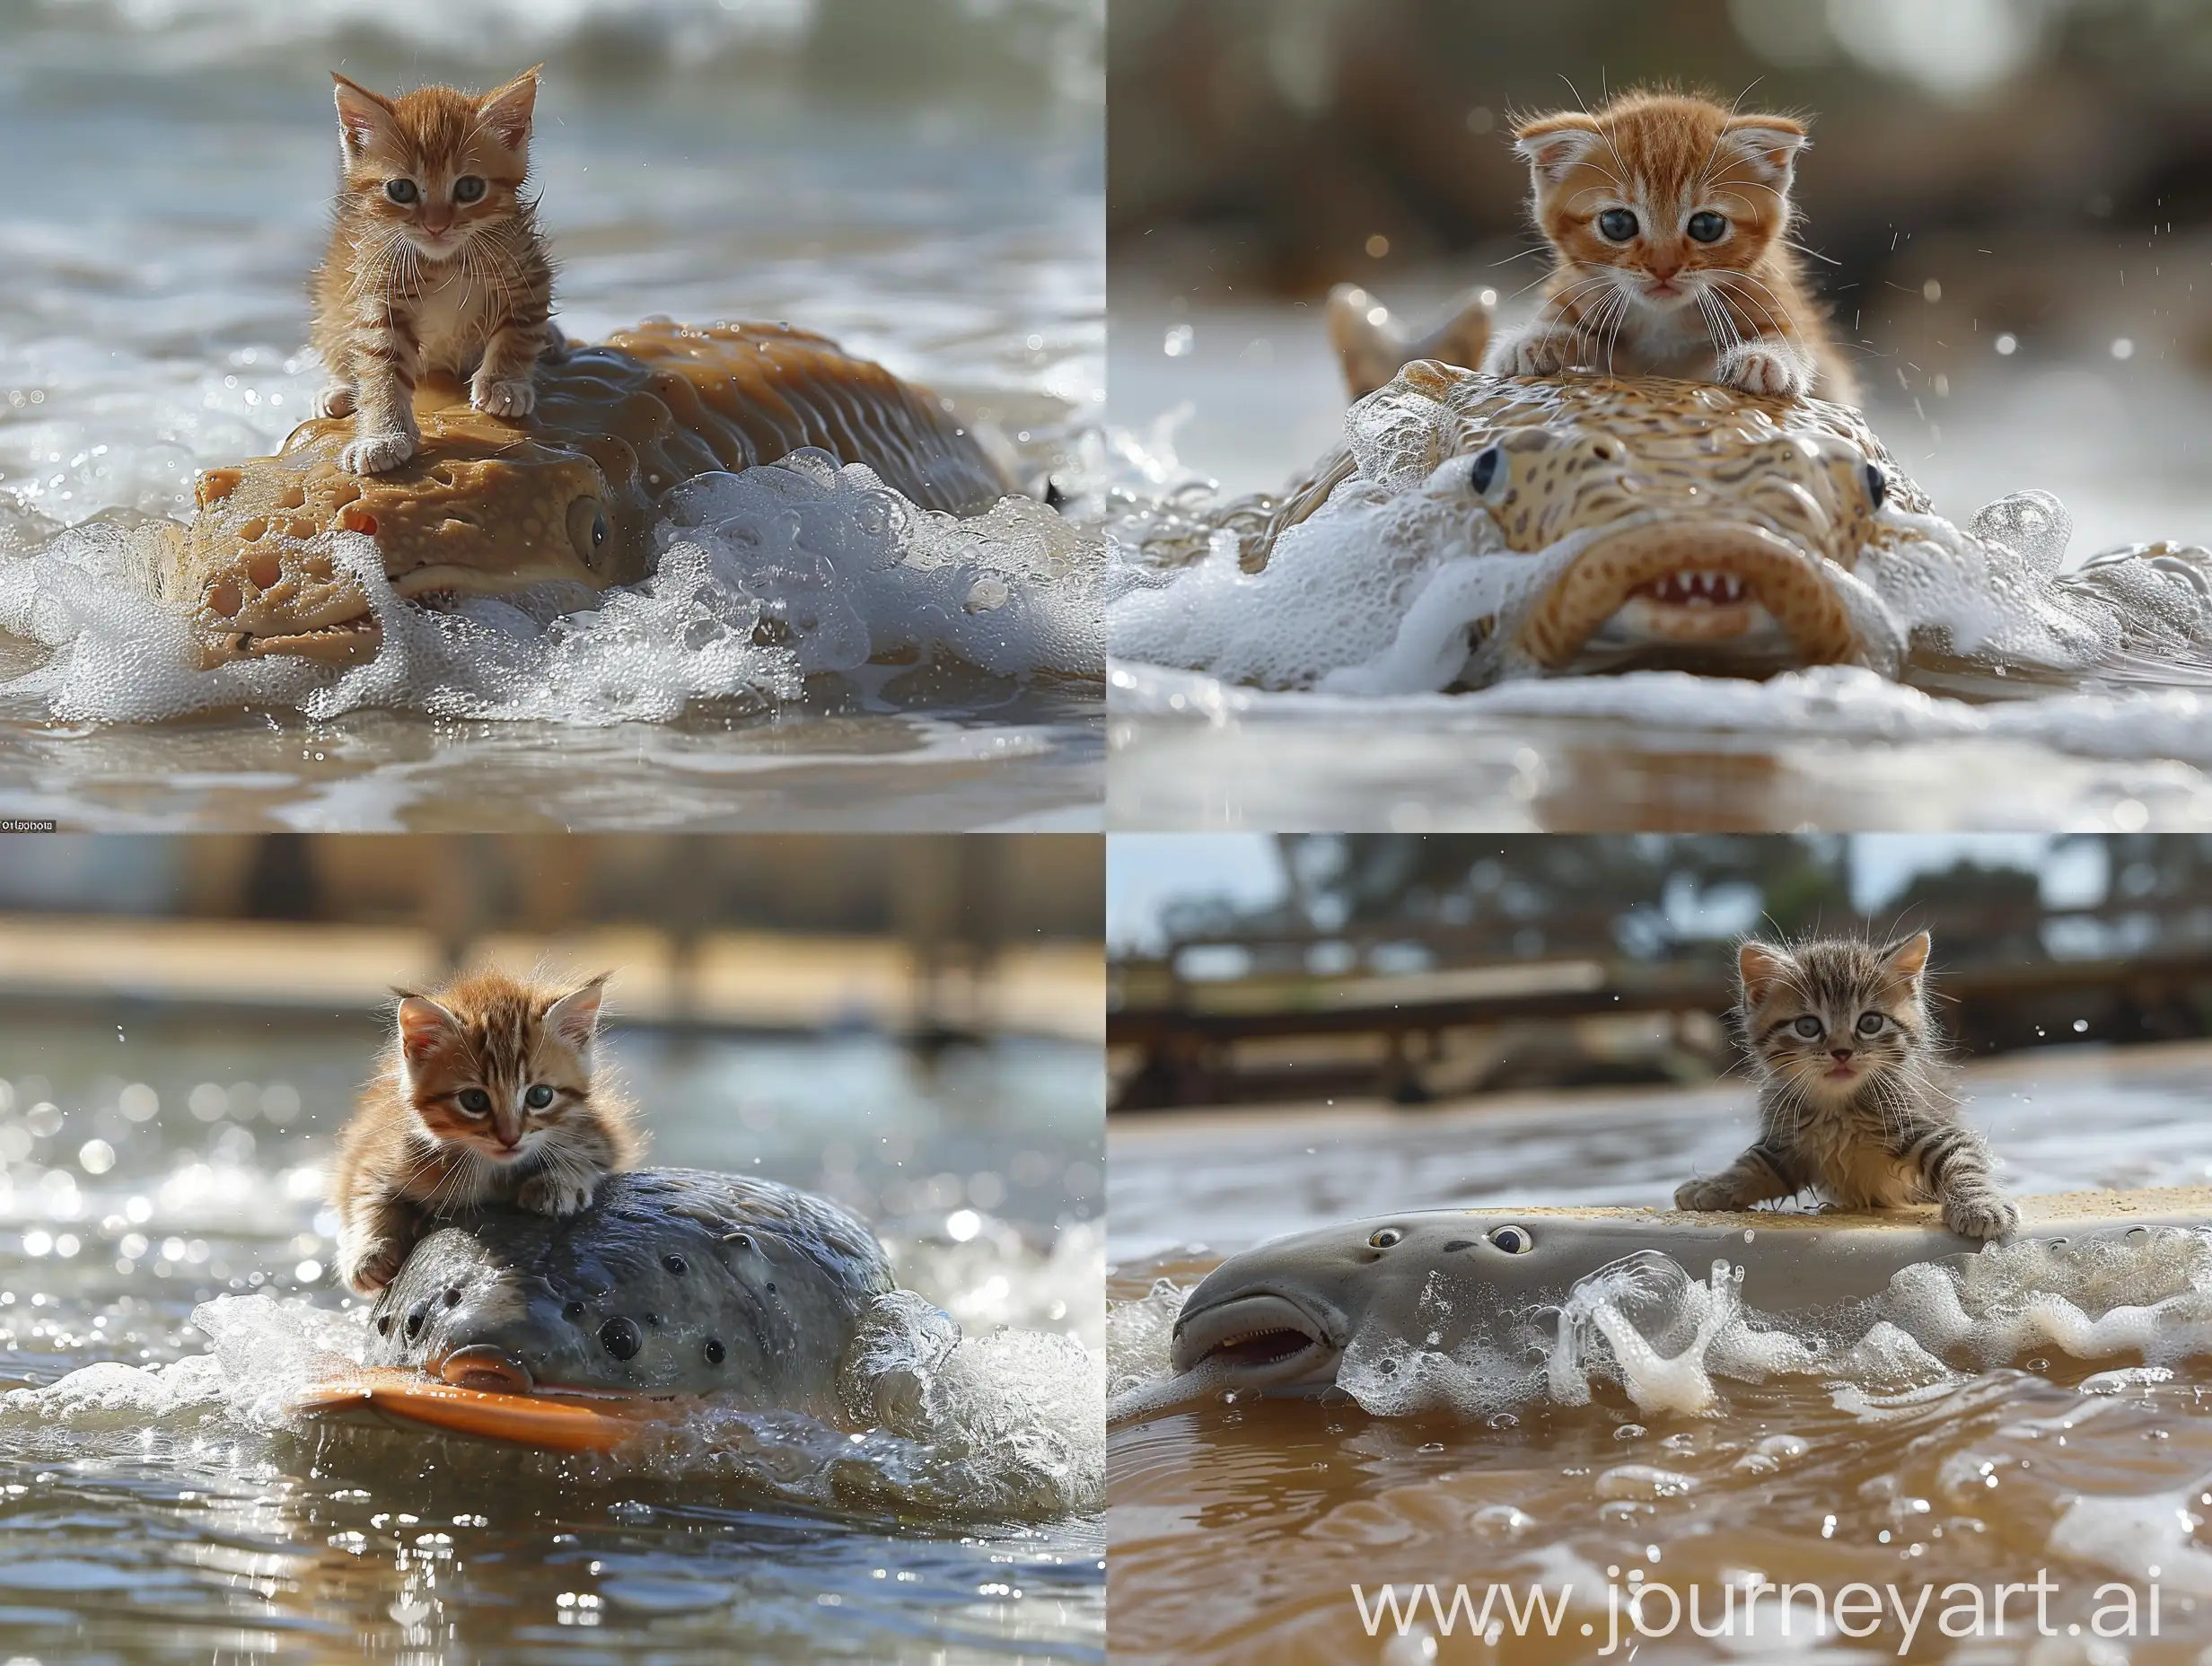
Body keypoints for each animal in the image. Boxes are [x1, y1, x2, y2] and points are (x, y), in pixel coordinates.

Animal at [312, 65, 561, 473]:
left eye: (470, 188)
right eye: (401, 190)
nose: (436, 225)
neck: (445, 260)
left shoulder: (526, 269)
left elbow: (520, 332)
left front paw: (503, 384)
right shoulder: (380, 292)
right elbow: (380, 367)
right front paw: (382, 436)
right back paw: (339, 389)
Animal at [327, 969, 645, 1292]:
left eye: (540, 1096)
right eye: (474, 1100)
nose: (510, 1138)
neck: (492, 1171)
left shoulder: (600, 1132)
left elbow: (583, 1153)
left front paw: (557, 1183)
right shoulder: (378, 1148)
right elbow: (366, 1194)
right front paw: (371, 1252)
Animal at [1486, 90, 1866, 402]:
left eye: (1707, 227)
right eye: (1618, 224)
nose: (1663, 268)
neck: (1663, 321)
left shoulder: (1776, 300)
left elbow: (1792, 341)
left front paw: (1765, 357)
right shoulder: (1579, 289)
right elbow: (1562, 321)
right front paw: (1533, 340)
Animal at [1672, 929, 2026, 1239]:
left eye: (1869, 1023)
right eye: (1808, 1026)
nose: (1841, 1052)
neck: (1837, 1110)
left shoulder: (1929, 1127)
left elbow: (1962, 1162)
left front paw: (1980, 1206)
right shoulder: (1786, 1145)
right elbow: (1753, 1165)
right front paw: (1712, 1186)